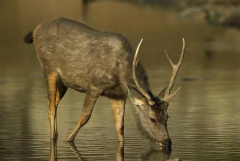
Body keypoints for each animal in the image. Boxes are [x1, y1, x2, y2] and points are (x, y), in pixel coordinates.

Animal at [23, 17, 186, 147]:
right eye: (152, 119)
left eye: (167, 117)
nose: (167, 141)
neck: (120, 72)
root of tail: (35, 30)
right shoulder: (95, 84)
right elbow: (85, 117)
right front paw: (68, 139)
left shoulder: (118, 94)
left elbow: (120, 126)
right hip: (49, 69)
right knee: (51, 104)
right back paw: (54, 137)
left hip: (64, 81)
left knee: (51, 100)